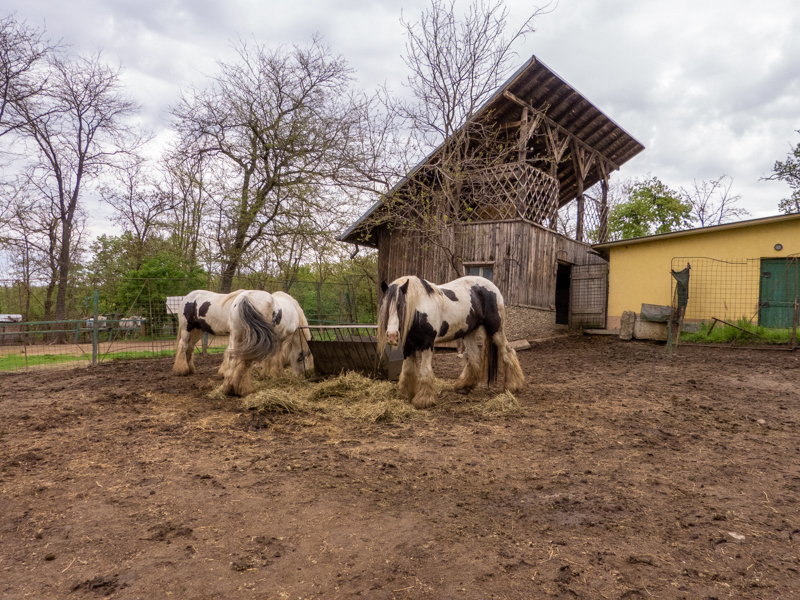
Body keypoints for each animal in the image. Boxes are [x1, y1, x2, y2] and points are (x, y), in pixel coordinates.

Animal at [377, 275, 525, 409]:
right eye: (385, 307)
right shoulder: (408, 346)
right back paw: (464, 386)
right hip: (469, 333)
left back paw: (513, 386)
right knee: (474, 357)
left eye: (400, 306)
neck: (418, 309)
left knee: (508, 352)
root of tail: (493, 287)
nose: (392, 336)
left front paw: (424, 400)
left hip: (496, 329)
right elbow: (407, 370)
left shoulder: (427, 344)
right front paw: (405, 395)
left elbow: (424, 370)